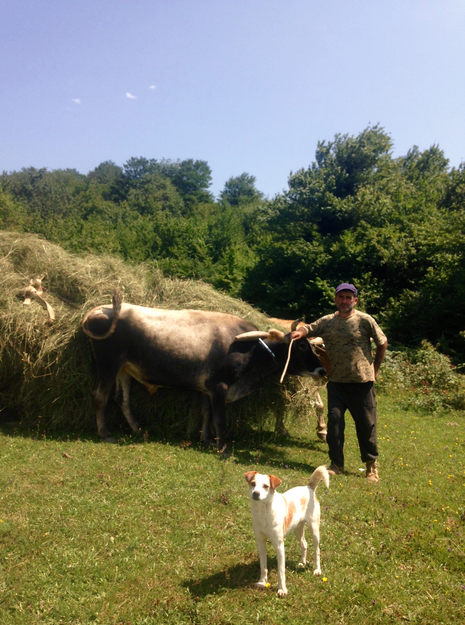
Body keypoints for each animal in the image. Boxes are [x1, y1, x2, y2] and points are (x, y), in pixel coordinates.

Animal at [245, 466, 328, 596]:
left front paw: (282, 589)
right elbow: (263, 566)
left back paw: (317, 569)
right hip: (298, 529)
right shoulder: (260, 542)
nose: (255, 493)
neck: (263, 512)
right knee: (304, 544)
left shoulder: (279, 545)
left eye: (266, 486)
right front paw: (262, 582)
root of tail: (308, 487)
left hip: (314, 528)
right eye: (253, 483)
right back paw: (302, 562)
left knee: (317, 550)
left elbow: (281, 571)